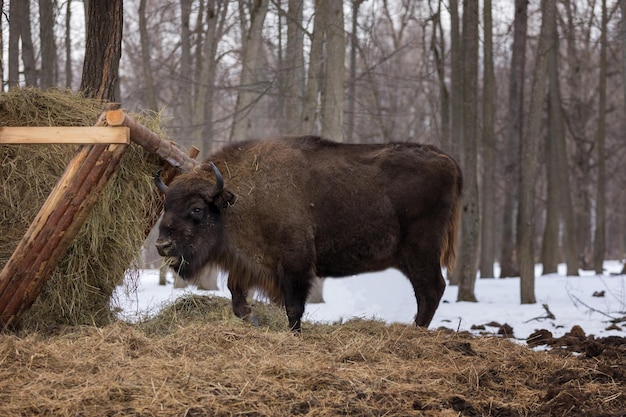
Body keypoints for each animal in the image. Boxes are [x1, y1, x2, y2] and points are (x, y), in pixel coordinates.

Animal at [154, 136, 460, 332]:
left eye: (196, 209)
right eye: (166, 206)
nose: (162, 244)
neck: (242, 197)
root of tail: (449, 162)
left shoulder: (294, 264)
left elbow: (293, 306)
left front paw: (294, 333)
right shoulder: (250, 263)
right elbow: (236, 294)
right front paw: (252, 319)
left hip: (420, 251)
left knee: (431, 289)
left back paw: (415, 331)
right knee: (428, 291)